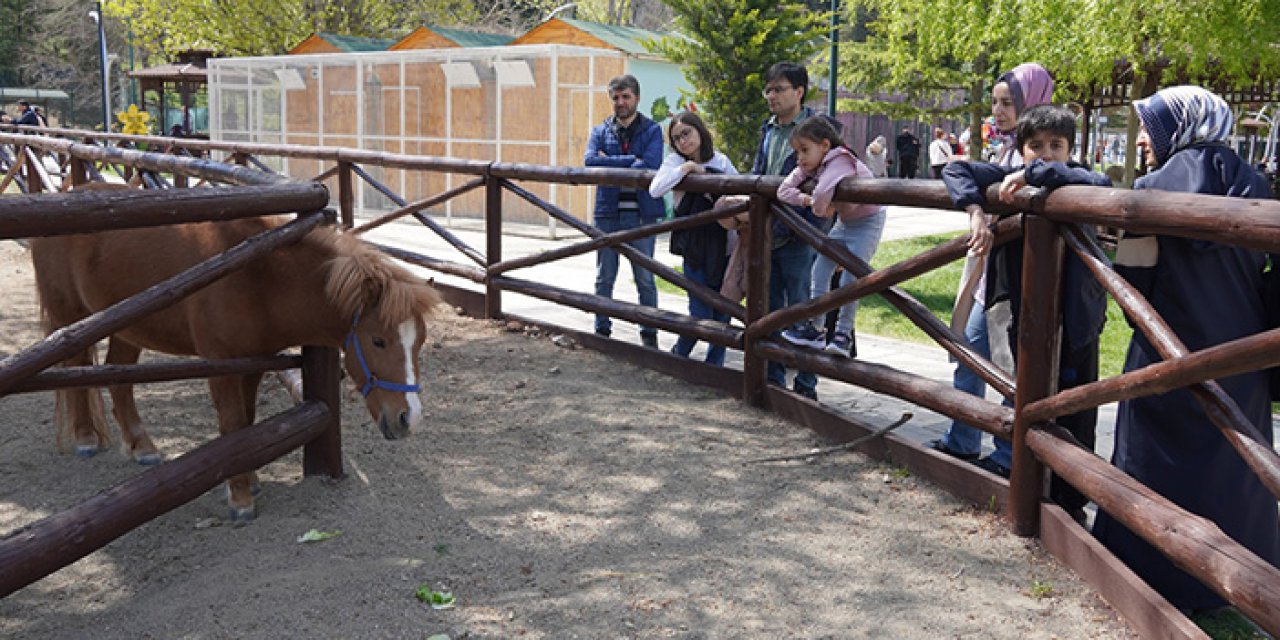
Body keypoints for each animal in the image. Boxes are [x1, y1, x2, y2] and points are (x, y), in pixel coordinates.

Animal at [31, 184, 440, 519]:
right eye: (378, 340)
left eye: (418, 341)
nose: (410, 418)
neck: (260, 274)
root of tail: (66, 192)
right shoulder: (223, 366)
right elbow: (231, 427)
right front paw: (240, 496)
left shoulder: (253, 364)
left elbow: (247, 425)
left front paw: (251, 480)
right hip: (71, 319)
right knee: (76, 372)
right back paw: (85, 438)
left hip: (127, 329)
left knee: (119, 380)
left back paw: (141, 446)